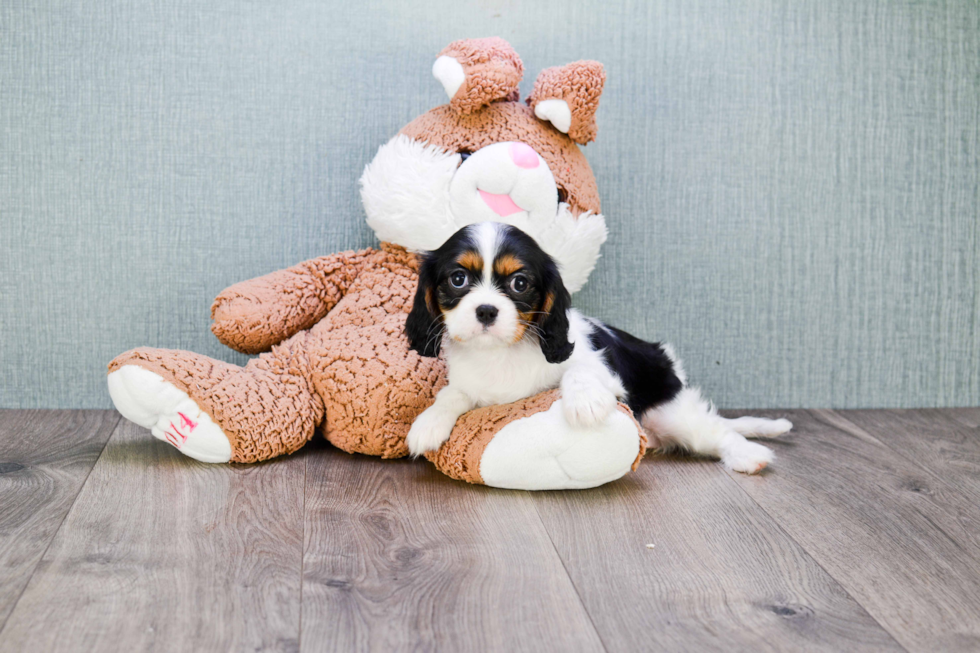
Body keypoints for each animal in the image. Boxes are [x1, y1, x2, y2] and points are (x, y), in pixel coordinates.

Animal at [402, 222, 792, 472]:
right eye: (458, 279)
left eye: (519, 283)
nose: (485, 310)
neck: (501, 354)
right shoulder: (470, 385)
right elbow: (452, 394)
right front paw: (429, 424)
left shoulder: (600, 366)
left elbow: (580, 370)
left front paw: (586, 402)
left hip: (673, 413)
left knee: (717, 432)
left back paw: (748, 456)